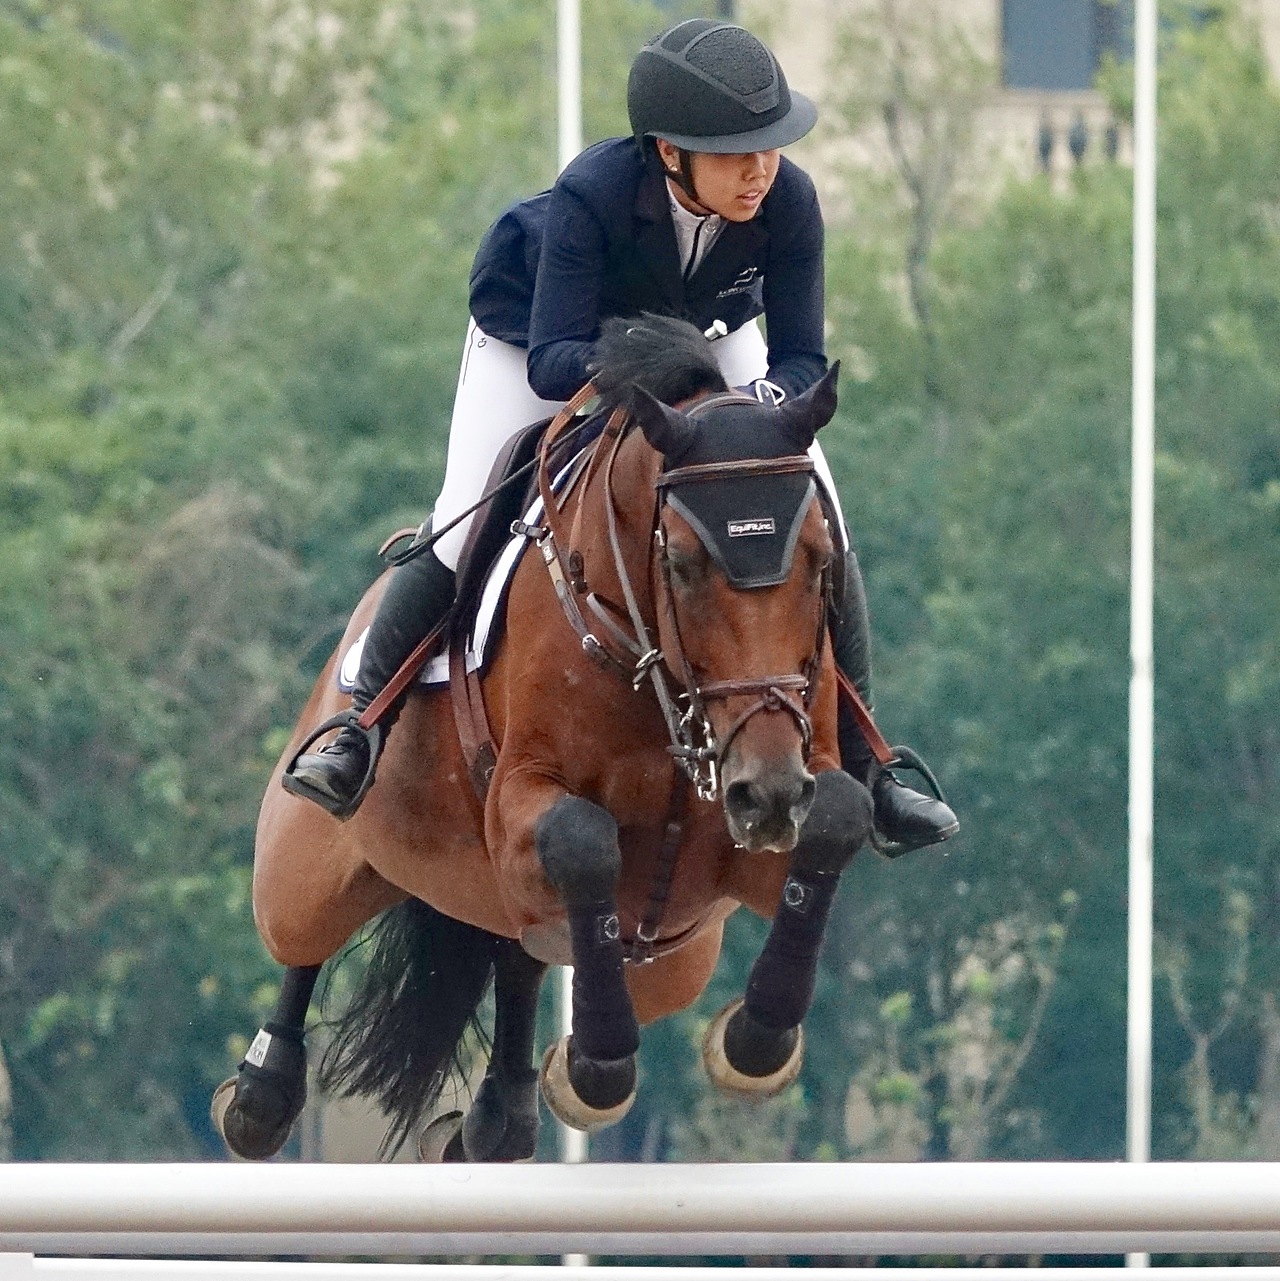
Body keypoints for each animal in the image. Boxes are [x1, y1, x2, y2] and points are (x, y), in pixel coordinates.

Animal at [211, 314, 874, 1162]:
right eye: (682, 563)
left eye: (821, 563)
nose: (767, 794)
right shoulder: (521, 800)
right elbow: (581, 838)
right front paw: (598, 1061)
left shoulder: (764, 829)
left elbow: (839, 818)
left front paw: (753, 1040)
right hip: (315, 857)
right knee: (301, 934)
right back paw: (263, 1093)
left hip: (675, 961)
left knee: (521, 951)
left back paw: (500, 1115)